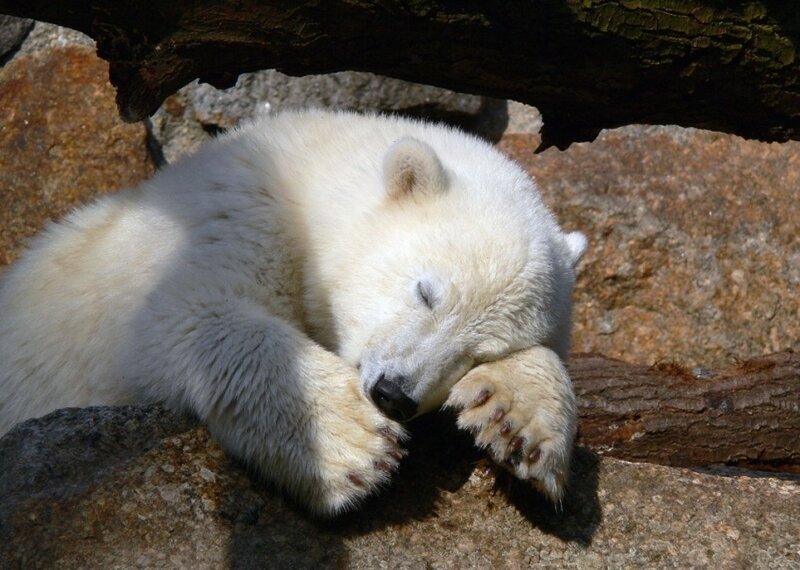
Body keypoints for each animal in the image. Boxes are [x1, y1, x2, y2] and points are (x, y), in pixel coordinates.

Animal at [0, 109, 585, 515]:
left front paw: (518, 422)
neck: (305, 179)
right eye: (425, 292)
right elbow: (182, 316)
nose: (394, 394)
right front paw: (354, 443)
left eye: (481, 351)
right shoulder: (224, 220)